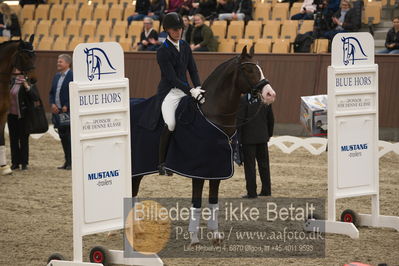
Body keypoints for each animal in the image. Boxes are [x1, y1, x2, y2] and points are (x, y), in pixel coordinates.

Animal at [0, 36, 36, 176]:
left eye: (34, 55)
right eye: (24, 56)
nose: (33, 79)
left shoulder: (3, 114)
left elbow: (2, 139)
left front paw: (4, 168)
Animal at [131, 46, 276, 246]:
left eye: (259, 67)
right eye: (248, 70)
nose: (270, 94)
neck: (212, 115)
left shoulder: (216, 169)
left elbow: (213, 201)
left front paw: (215, 235)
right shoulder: (198, 171)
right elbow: (197, 202)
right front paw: (194, 238)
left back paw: (136, 229)